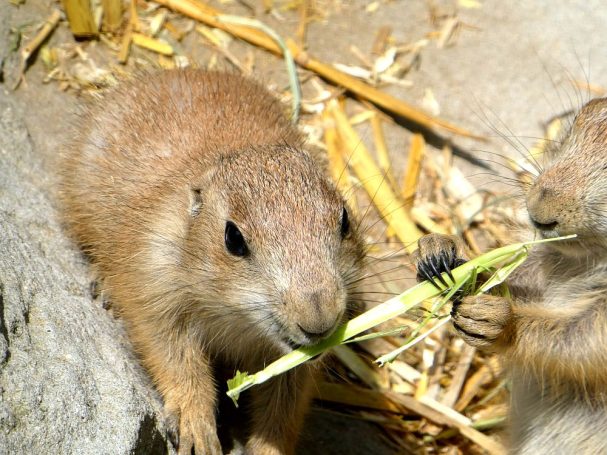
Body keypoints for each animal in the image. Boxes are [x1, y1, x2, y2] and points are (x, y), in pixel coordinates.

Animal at [59, 69, 365, 454]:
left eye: (345, 220)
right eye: (233, 238)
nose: (319, 321)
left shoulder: (294, 365)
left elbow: (283, 406)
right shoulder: (156, 293)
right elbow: (178, 363)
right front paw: (197, 434)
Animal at [415, 97, 607, 453]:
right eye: (582, 116)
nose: (538, 212)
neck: (585, 263)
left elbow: (582, 341)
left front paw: (496, 321)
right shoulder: (548, 263)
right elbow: (517, 278)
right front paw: (440, 255)